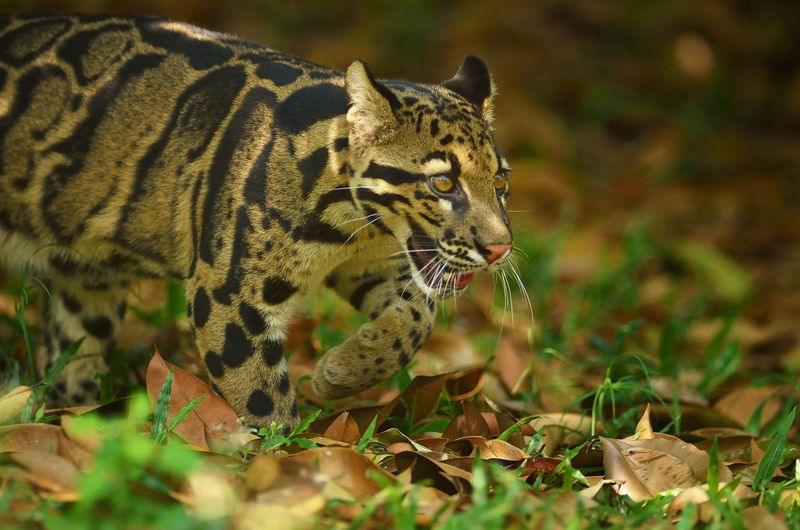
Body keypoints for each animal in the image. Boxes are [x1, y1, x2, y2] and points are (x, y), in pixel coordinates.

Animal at [0, 14, 512, 426]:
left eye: (500, 181)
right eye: (442, 183)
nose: (500, 247)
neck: (348, 223)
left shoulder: (368, 264)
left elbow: (418, 316)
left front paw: (342, 372)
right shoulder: (228, 295)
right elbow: (259, 392)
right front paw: (274, 458)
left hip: (87, 285)